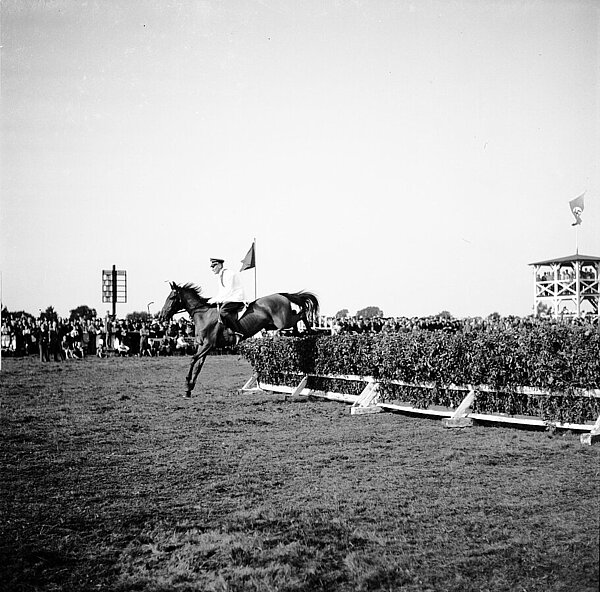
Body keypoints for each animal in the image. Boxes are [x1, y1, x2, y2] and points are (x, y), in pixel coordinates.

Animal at [158, 282, 318, 398]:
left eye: (171, 298)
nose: (162, 316)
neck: (203, 315)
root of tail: (281, 294)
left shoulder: (208, 345)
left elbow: (192, 360)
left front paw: (187, 384)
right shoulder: (203, 346)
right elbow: (198, 366)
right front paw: (189, 389)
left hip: (283, 322)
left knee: (302, 313)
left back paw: (309, 331)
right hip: (272, 324)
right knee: (297, 314)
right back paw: (299, 332)